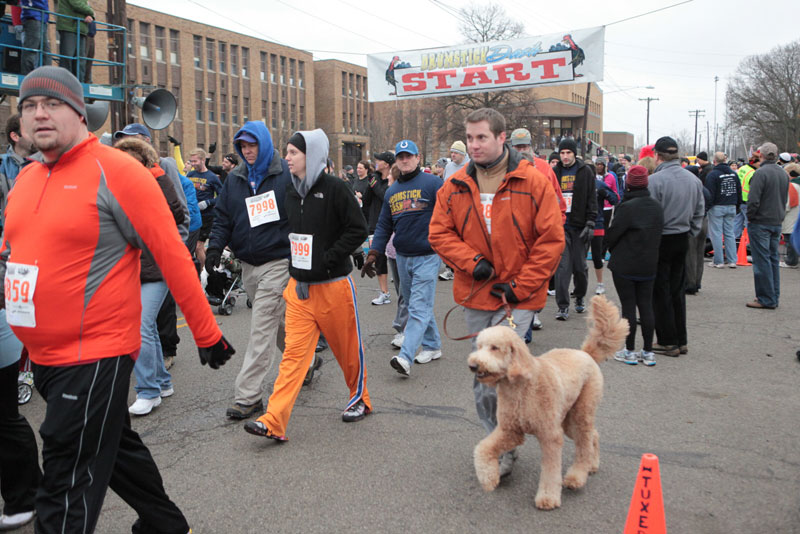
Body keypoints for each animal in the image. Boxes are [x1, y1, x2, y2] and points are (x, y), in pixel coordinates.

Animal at [466, 298, 628, 510]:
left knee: (584, 442)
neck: (521, 387)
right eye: (479, 346)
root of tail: (586, 353)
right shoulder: (510, 430)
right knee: (593, 434)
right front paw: (488, 478)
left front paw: (548, 498)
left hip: (581, 411)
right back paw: (592, 465)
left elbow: (551, 471)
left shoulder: (550, 436)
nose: (473, 365)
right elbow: (483, 449)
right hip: (568, 418)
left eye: (494, 348)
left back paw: (577, 476)